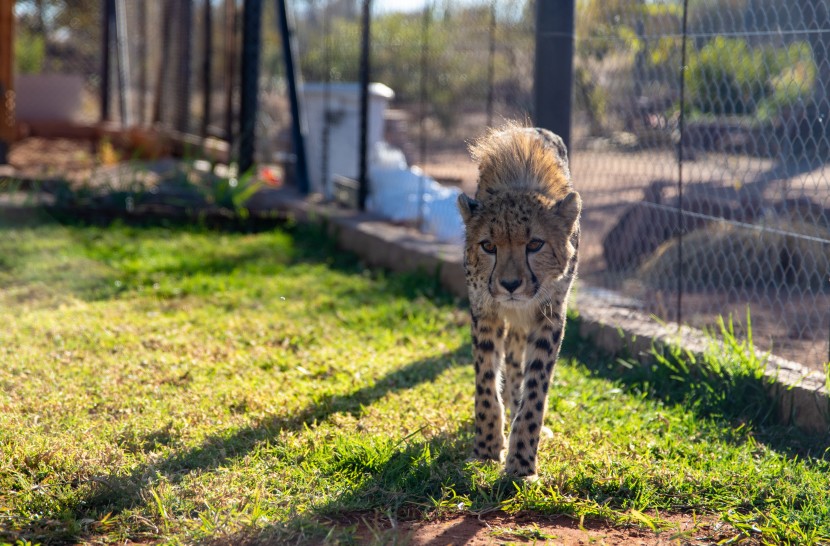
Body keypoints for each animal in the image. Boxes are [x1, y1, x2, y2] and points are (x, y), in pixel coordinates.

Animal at [458, 122, 580, 476]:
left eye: (535, 244)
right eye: (488, 246)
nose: (510, 285)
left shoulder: (550, 314)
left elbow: (536, 388)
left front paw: (522, 464)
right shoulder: (485, 310)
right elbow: (486, 381)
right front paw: (487, 447)